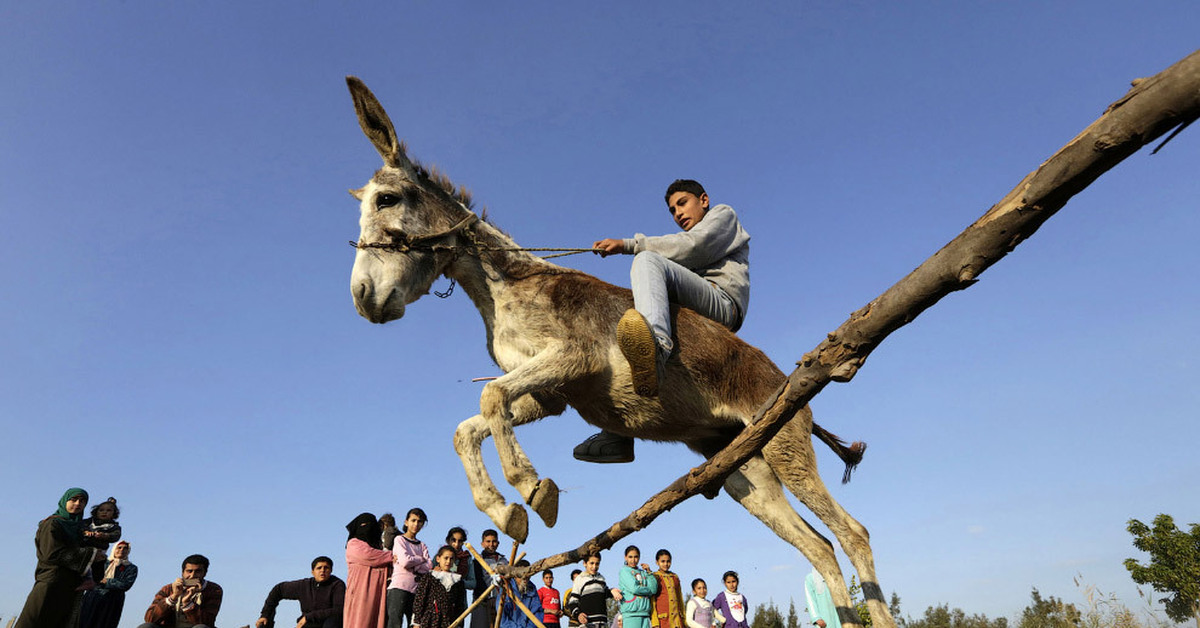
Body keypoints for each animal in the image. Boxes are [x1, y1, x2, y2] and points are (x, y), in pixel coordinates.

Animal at [344, 76, 893, 628]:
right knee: (819, 547)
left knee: (852, 533)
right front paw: (507, 508)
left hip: (786, 448)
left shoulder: (573, 359)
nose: (363, 296)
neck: (508, 286)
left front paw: (532, 491)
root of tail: (785, 377)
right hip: (747, 472)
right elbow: (468, 427)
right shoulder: (546, 396)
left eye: (387, 199)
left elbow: (490, 398)